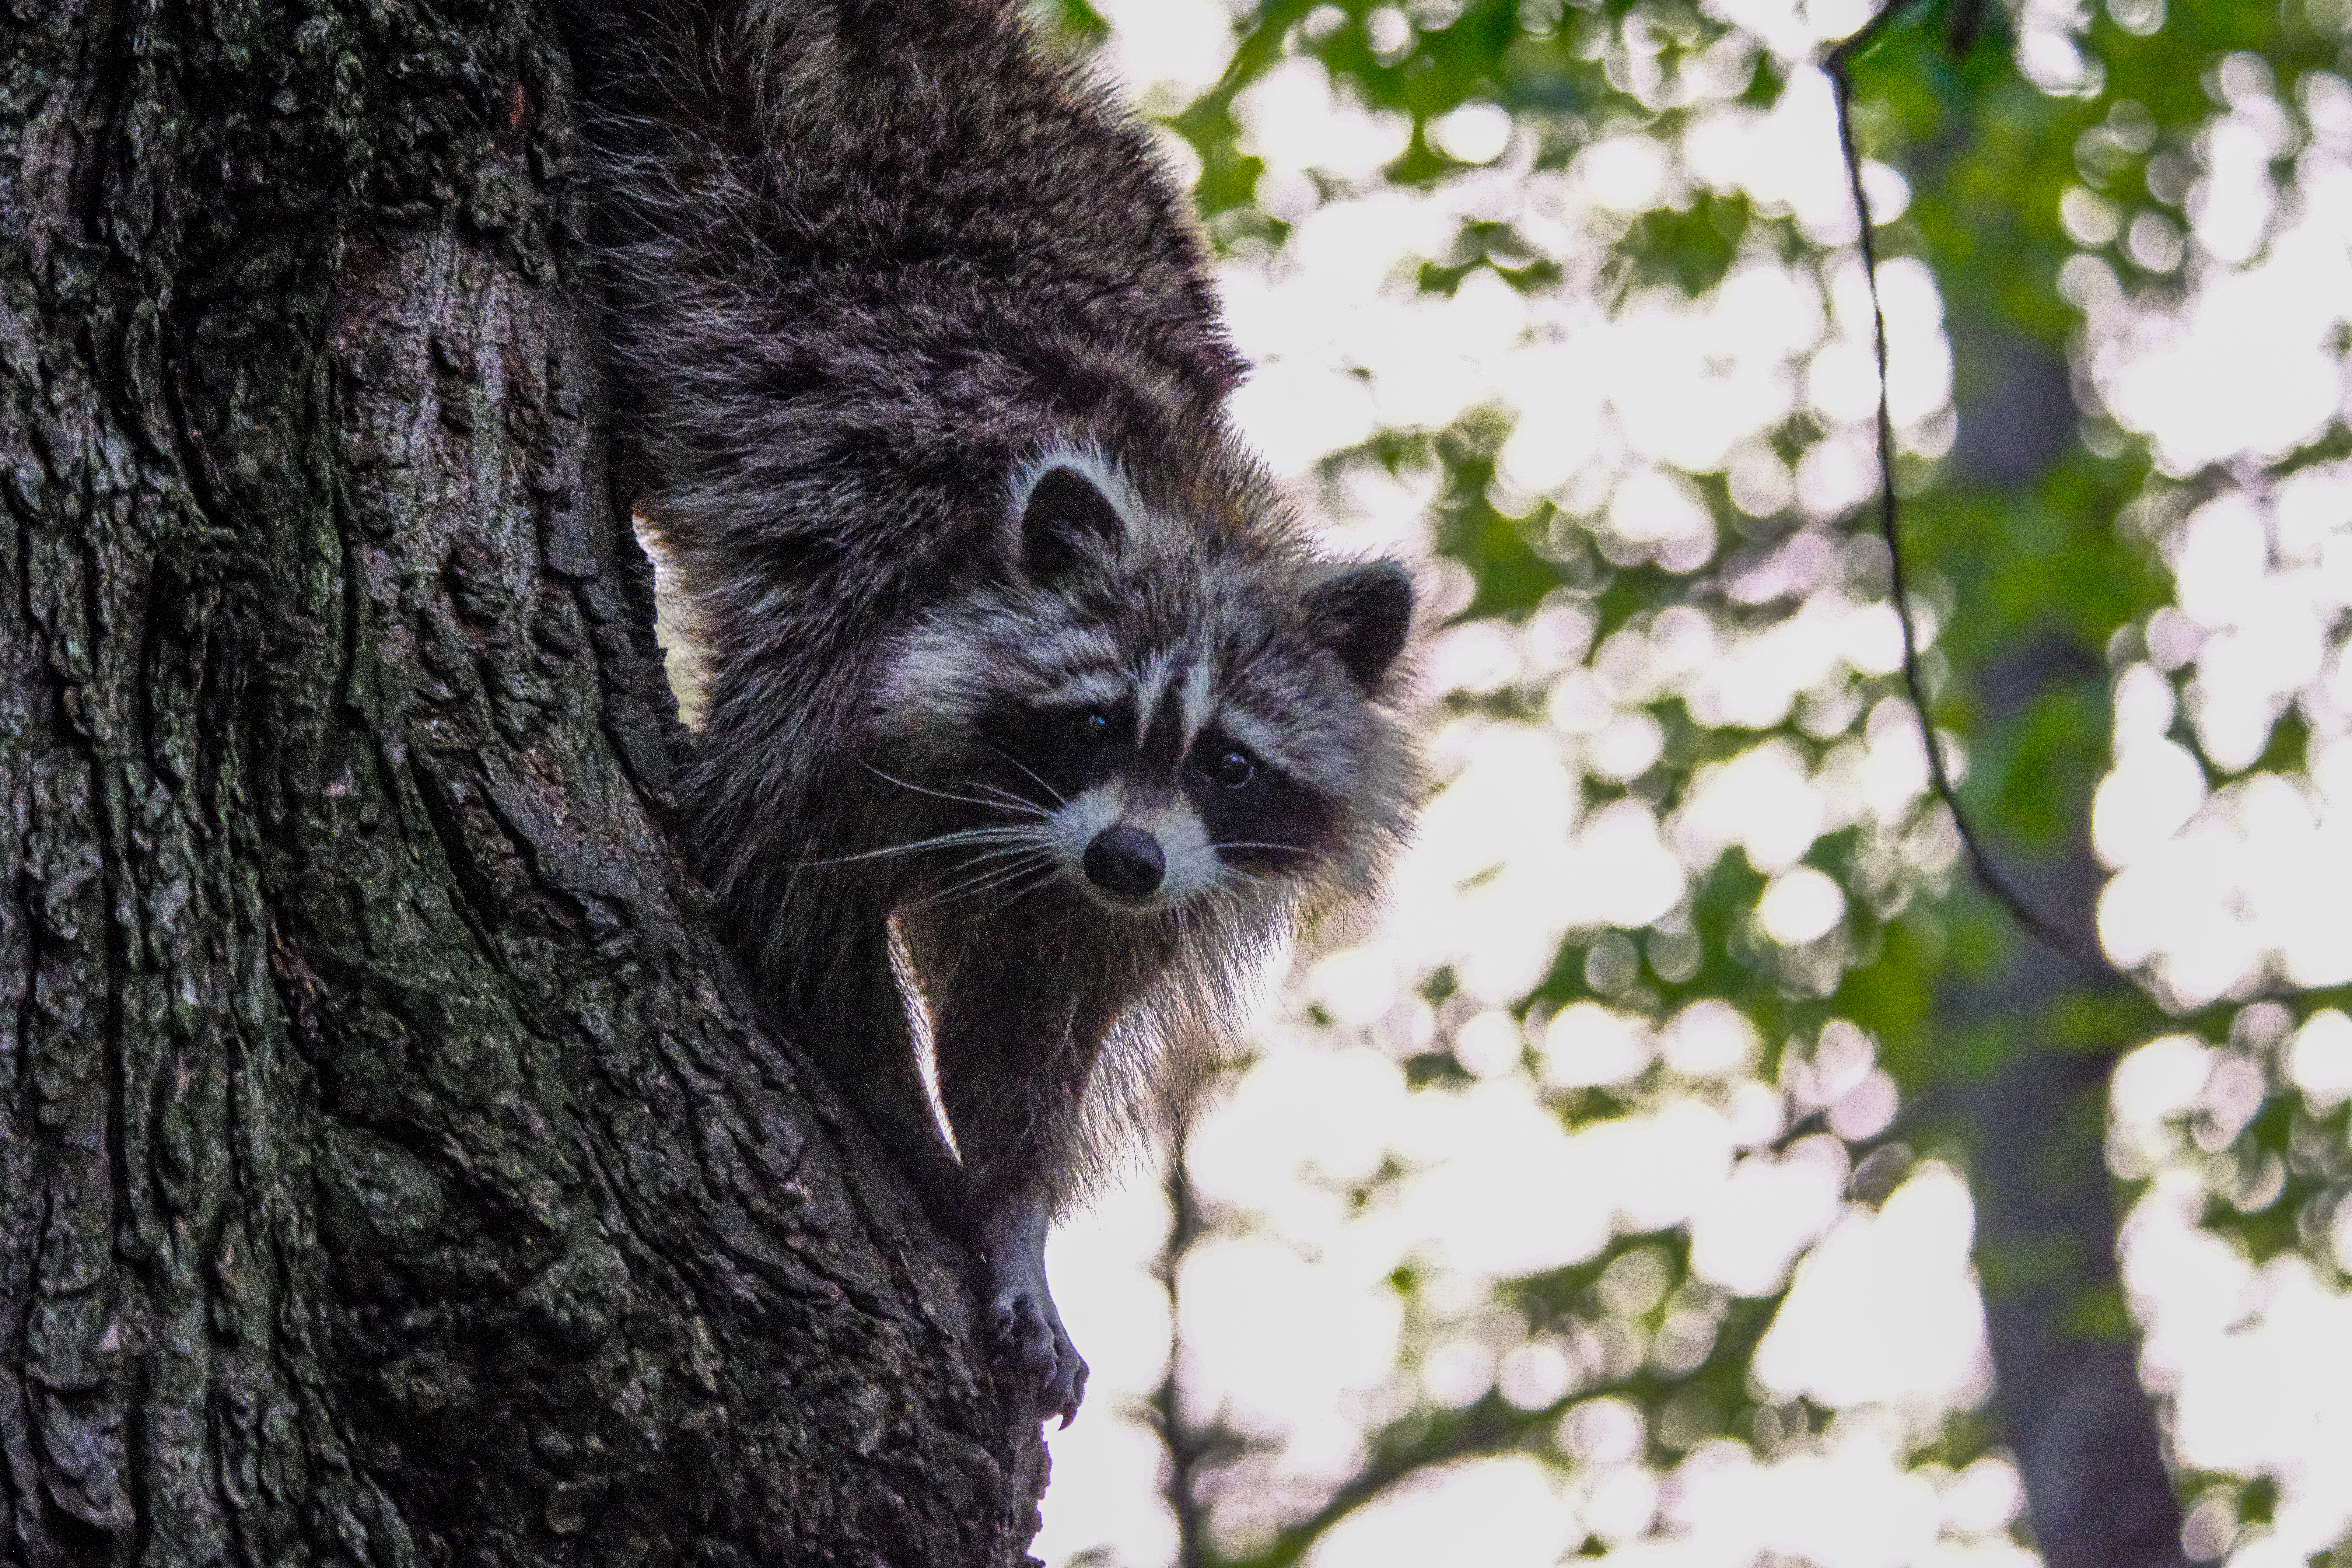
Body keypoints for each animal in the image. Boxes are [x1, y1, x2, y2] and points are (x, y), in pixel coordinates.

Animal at [573, 0, 1422, 1422]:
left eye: (1229, 763)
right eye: (1096, 723)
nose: (1126, 858)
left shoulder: (1131, 881)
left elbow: (1031, 1021)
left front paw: (1014, 1206)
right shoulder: (838, 658)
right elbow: (790, 907)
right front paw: (912, 1137)